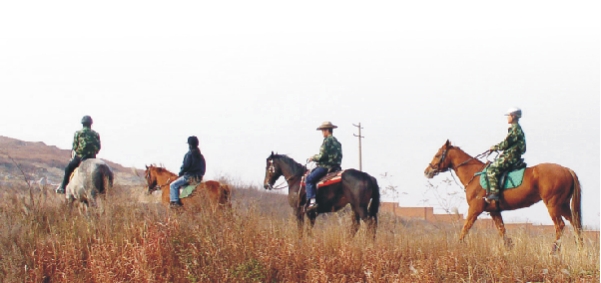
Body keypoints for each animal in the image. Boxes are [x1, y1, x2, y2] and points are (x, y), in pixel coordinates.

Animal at [422, 140, 580, 251]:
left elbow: (465, 229)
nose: (427, 171)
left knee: (560, 226)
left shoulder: (474, 209)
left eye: (437, 155)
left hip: (553, 205)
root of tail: (567, 170)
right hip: (563, 205)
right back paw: (580, 248)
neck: (474, 174)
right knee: (575, 224)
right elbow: (502, 231)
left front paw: (457, 246)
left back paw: (554, 250)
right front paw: (509, 249)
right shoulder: (494, 211)